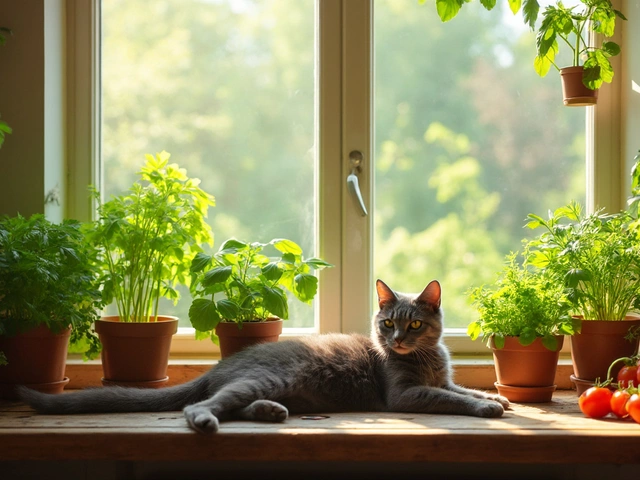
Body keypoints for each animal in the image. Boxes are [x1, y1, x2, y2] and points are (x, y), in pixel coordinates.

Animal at [20, 280, 508, 434]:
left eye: (415, 325)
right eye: (388, 324)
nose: (399, 341)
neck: (425, 359)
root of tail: (220, 365)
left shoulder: (443, 377)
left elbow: (462, 387)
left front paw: (498, 398)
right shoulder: (406, 394)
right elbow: (451, 397)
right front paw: (487, 408)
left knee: (231, 404)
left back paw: (272, 412)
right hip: (269, 377)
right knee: (200, 406)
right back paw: (209, 420)